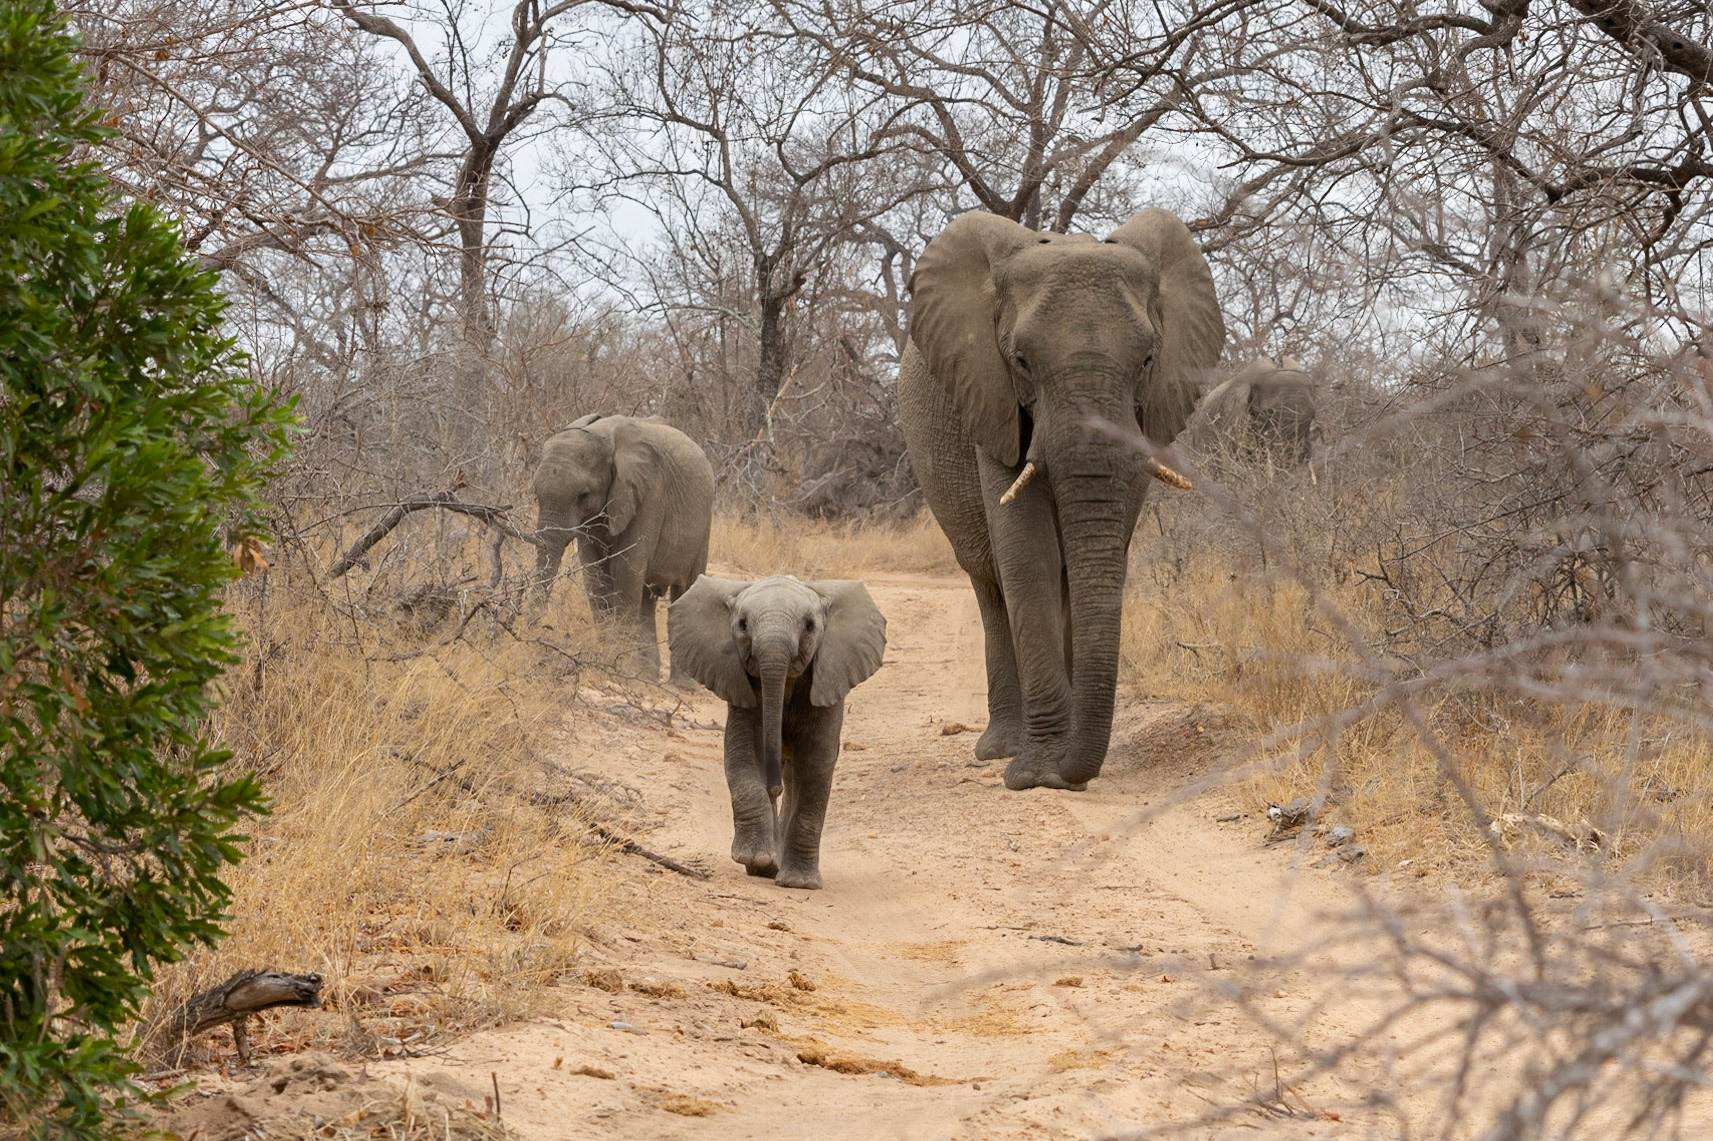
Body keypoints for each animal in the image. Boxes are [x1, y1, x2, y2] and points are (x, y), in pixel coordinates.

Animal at [532, 413, 715, 684]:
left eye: (583, 496)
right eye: (535, 495)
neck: (602, 436)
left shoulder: (649, 495)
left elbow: (625, 570)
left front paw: (620, 668)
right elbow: (594, 572)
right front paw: (609, 658)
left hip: (704, 524)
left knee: (686, 588)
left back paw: (683, 685)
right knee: (647, 599)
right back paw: (647, 675)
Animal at [668, 574, 887, 889]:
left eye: (810, 625)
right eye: (742, 624)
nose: (774, 787)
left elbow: (817, 765)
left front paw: (799, 883)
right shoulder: (739, 684)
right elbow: (741, 753)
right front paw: (755, 860)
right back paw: (767, 866)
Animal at [898, 209, 1225, 791]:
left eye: (1148, 359)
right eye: (1021, 360)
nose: (1070, 778)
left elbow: (1097, 554)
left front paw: (1054, 765)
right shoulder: (991, 397)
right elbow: (1029, 556)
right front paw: (1035, 773)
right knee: (990, 582)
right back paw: (1000, 748)